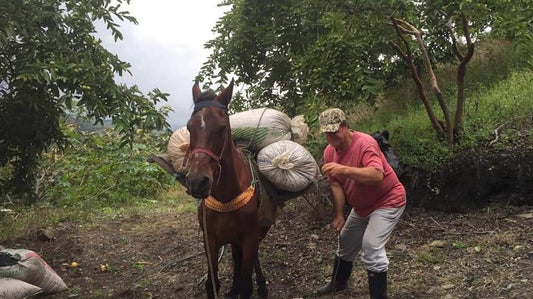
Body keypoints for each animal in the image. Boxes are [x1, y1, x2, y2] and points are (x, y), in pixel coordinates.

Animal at [186, 80, 270, 299]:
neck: (225, 196)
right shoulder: (210, 240)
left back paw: (261, 284)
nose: (197, 182)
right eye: (189, 127)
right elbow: (212, 283)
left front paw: (252, 285)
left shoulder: (250, 239)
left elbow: (246, 286)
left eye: (222, 127)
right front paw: (230, 287)